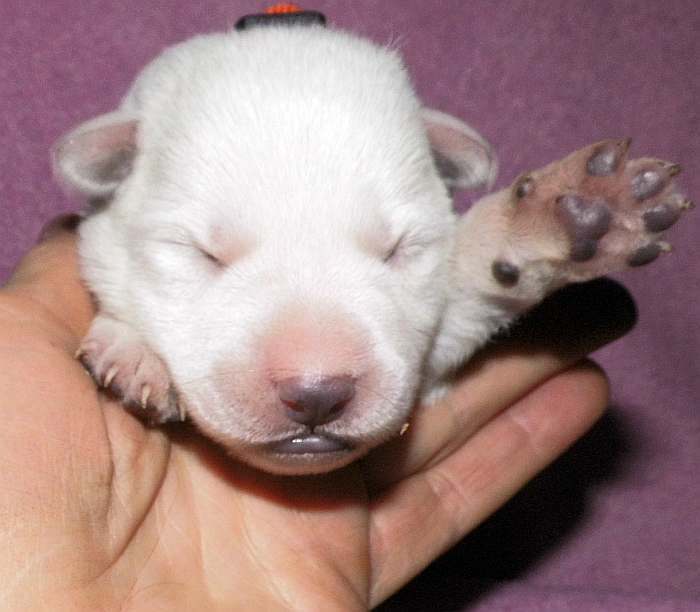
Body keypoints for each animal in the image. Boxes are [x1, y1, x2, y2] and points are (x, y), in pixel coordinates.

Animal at [53, 13, 688, 474]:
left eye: (399, 249)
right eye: (203, 254)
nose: (316, 393)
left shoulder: (428, 356)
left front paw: (568, 215)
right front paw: (131, 350)